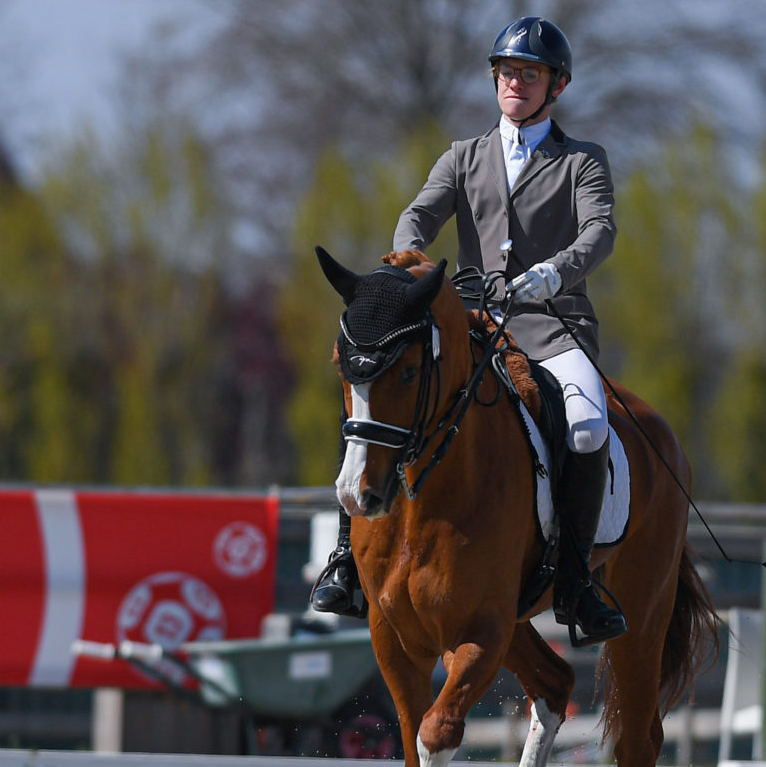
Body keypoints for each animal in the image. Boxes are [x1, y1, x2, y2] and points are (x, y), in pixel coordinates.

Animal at [316, 246, 724, 767]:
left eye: (408, 371)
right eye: (342, 367)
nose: (358, 495)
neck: (421, 504)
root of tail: (662, 433)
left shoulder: (481, 630)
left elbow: (436, 733)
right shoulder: (395, 636)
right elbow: (412, 737)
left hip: (642, 613)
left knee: (637, 735)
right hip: (519, 620)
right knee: (556, 682)